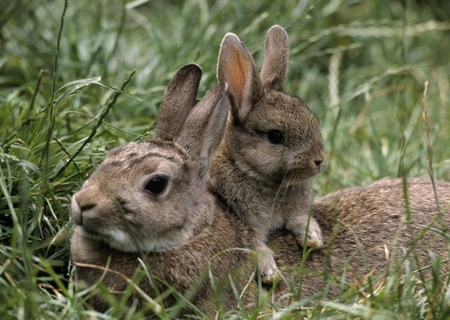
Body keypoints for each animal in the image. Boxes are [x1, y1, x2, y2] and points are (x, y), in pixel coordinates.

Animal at [206, 25, 326, 284]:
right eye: (275, 136)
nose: (319, 161)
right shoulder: (244, 221)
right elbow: (254, 245)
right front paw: (270, 273)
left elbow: (299, 219)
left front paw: (313, 238)